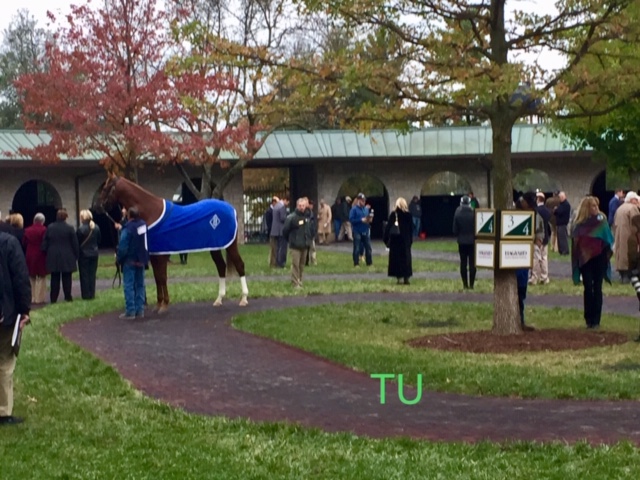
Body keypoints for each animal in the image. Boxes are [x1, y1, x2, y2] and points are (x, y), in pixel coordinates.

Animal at [96, 172, 249, 312]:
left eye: (105, 188)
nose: (98, 207)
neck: (152, 211)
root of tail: (232, 209)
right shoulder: (154, 254)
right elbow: (157, 278)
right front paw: (159, 304)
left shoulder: (161, 254)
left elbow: (162, 277)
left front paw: (164, 305)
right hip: (215, 247)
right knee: (221, 267)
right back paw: (219, 299)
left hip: (230, 245)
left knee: (239, 265)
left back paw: (244, 298)